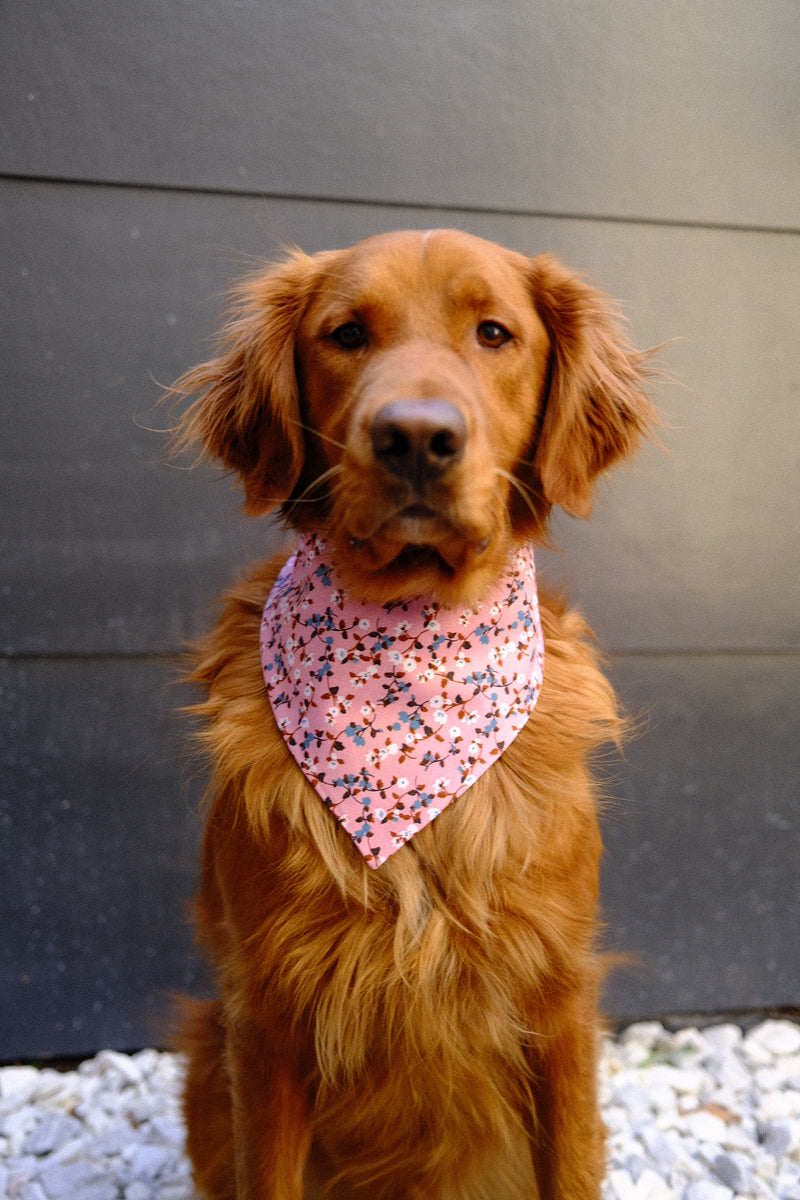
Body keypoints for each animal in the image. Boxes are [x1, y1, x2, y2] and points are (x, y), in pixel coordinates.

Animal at [170, 226, 657, 1200]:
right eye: (347, 334)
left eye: (495, 333)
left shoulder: (558, 994)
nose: (417, 438)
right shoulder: (268, 1013)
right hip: (207, 1056)